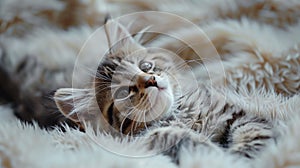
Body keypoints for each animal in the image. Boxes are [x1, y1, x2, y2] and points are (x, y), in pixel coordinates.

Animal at [53, 19, 276, 163]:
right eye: (123, 93)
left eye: (145, 66)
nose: (150, 80)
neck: (180, 114)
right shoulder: (145, 140)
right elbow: (175, 138)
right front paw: (216, 153)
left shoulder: (236, 115)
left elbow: (254, 134)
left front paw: (244, 153)